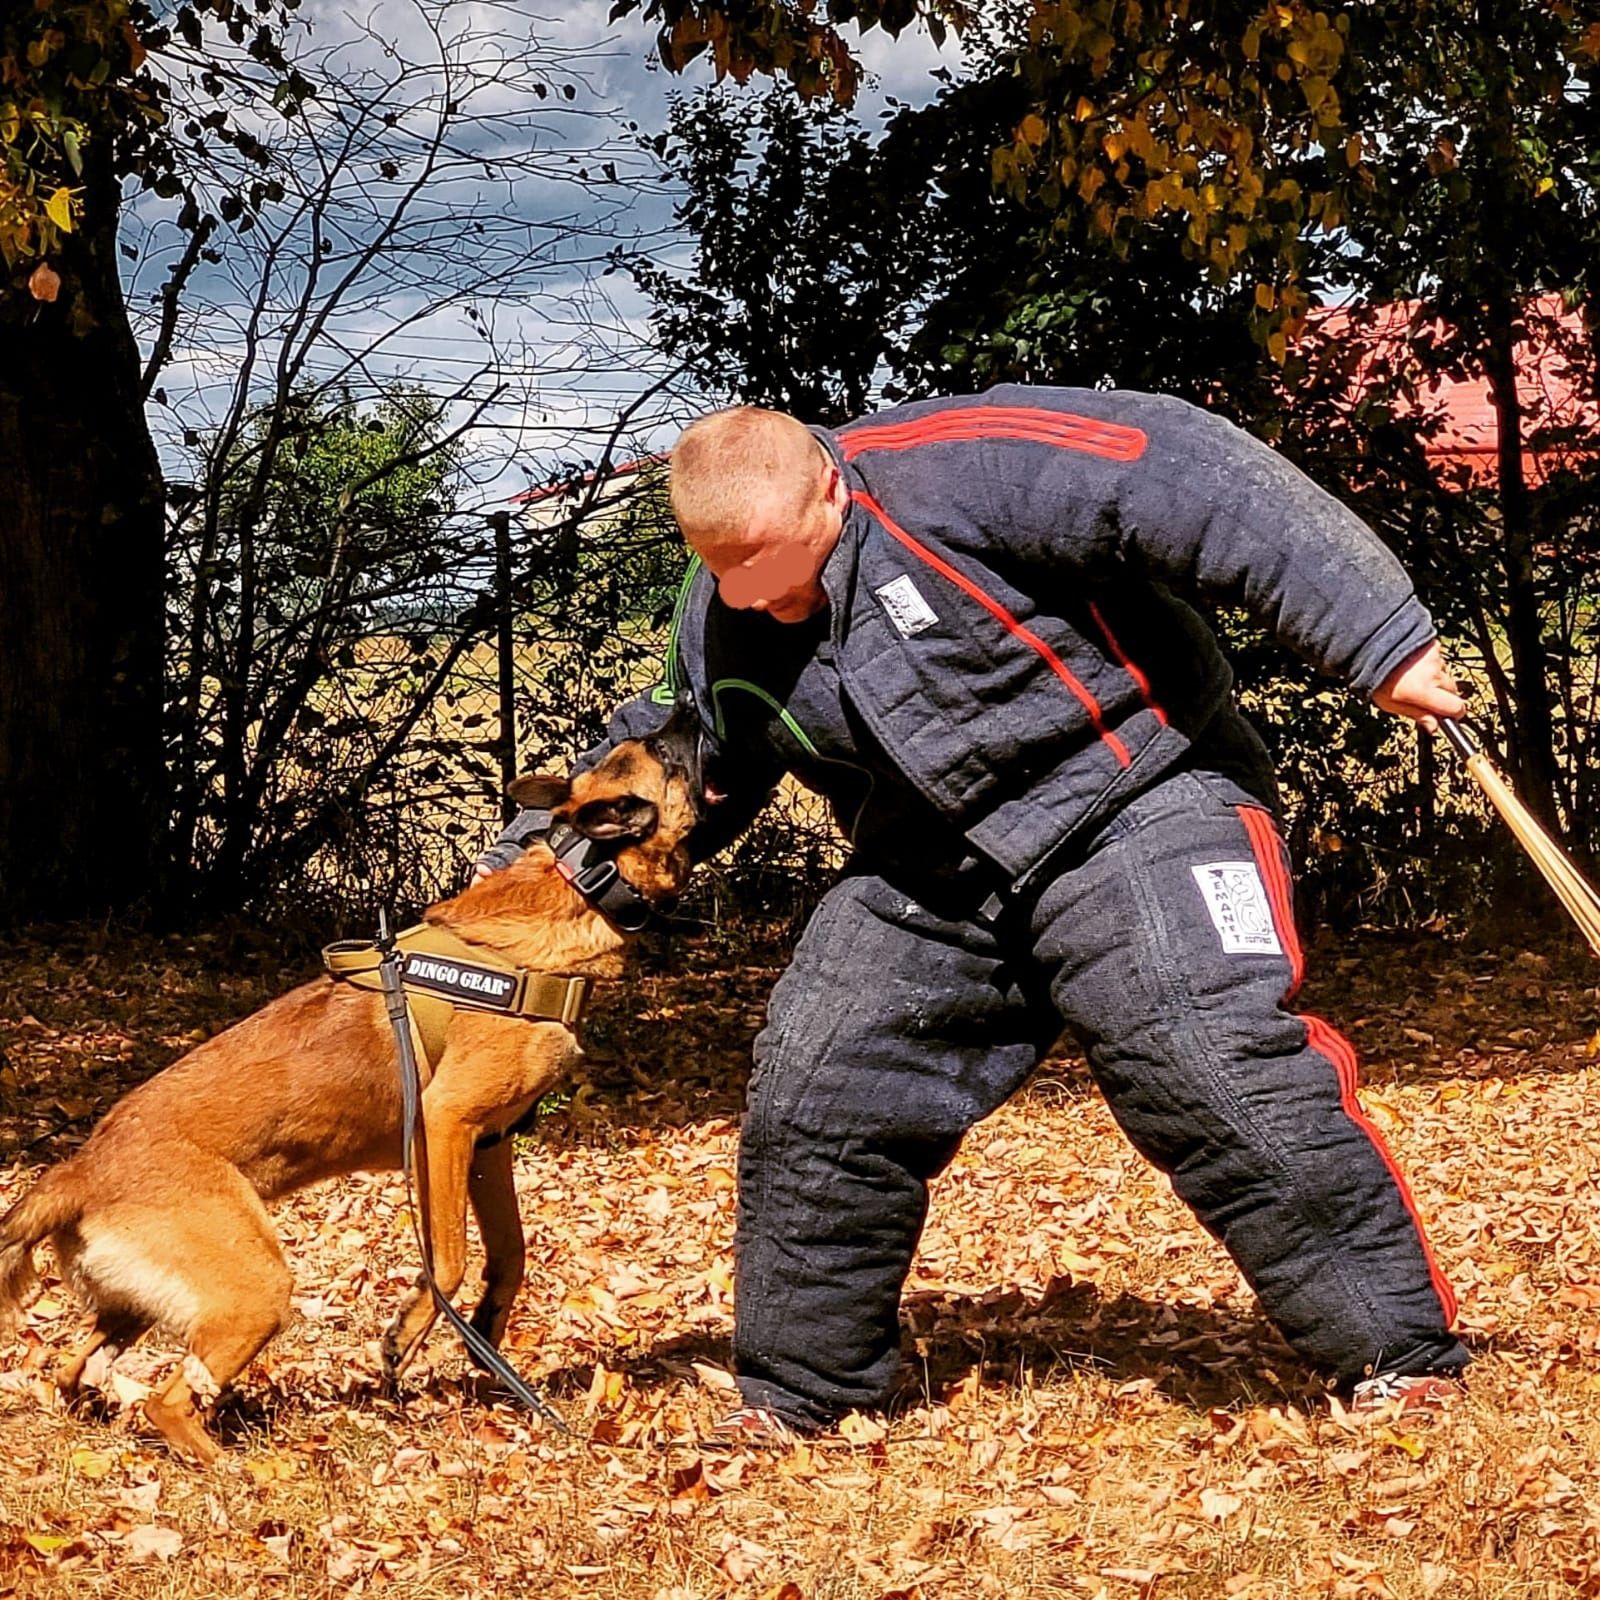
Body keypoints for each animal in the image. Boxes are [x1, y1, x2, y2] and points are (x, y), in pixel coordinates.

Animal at [0, 726, 700, 1465]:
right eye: (667, 756)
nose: (687, 714)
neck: (575, 886)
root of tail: (76, 1170)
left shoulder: (489, 1144)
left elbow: (510, 1252)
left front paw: (486, 1336)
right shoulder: (444, 1125)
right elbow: (449, 1259)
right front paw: (409, 1333)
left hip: (138, 1306)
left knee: (73, 1370)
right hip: (258, 1286)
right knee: (169, 1402)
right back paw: (240, 1472)